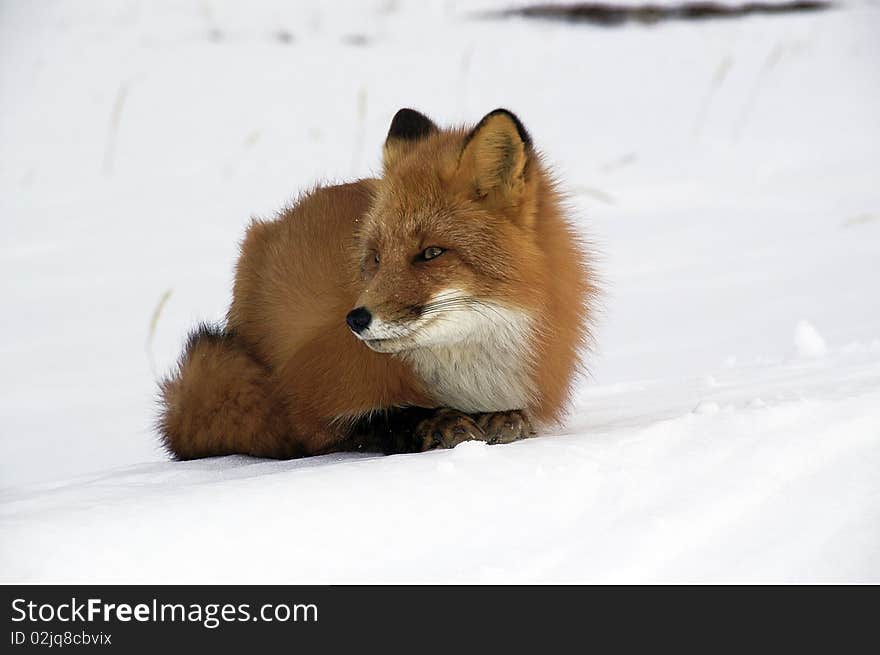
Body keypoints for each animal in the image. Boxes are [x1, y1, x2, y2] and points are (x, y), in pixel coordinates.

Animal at [158, 107, 600, 458]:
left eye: (431, 253)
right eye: (375, 258)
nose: (355, 319)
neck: (466, 376)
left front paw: (502, 417)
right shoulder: (312, 405)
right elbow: (376, 420)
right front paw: (436, 422)